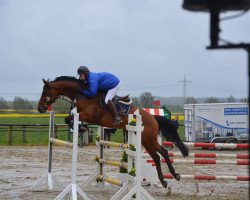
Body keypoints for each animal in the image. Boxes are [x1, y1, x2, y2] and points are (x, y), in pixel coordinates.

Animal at [38, 76, 188, 188]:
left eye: (45, 92)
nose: (40, 108)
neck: (82, 95)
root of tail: (153, 117)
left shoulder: (87, 116)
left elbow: (69, 119)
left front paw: (81, 128)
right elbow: (68, 118)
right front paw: (81, 128)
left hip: (148, 139)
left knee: (160, 154)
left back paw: (170, 177)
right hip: (145, 140)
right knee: (160, 155)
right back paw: (168, 178)